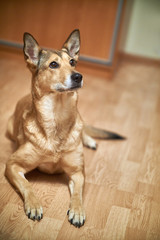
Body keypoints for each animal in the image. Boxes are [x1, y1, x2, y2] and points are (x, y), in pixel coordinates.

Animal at [5, 29, 125, 228]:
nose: (78, 76)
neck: (57, 117)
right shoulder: (12, 165)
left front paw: (77, 211)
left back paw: (90, 141)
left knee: (84, 130)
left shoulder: (77, 172)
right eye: (53, 64)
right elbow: (27, 185)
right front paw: (34, 205)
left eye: (72, 62)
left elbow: (78, 194)